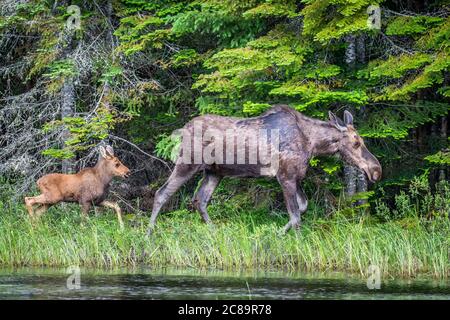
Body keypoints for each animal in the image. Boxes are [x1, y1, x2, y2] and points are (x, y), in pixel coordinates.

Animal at [148, 105, 380, 232]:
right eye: (356, 142)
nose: (376, 169)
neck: (313, 144)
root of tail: (183, 129)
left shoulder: (296, 177)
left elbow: (302, 207)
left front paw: (278, 233)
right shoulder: (285, 176)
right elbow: (295, 216)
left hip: (214, 172)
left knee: (200, 200)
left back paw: (214, 232)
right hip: (188, 162)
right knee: (162, 193)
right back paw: (148, 236)